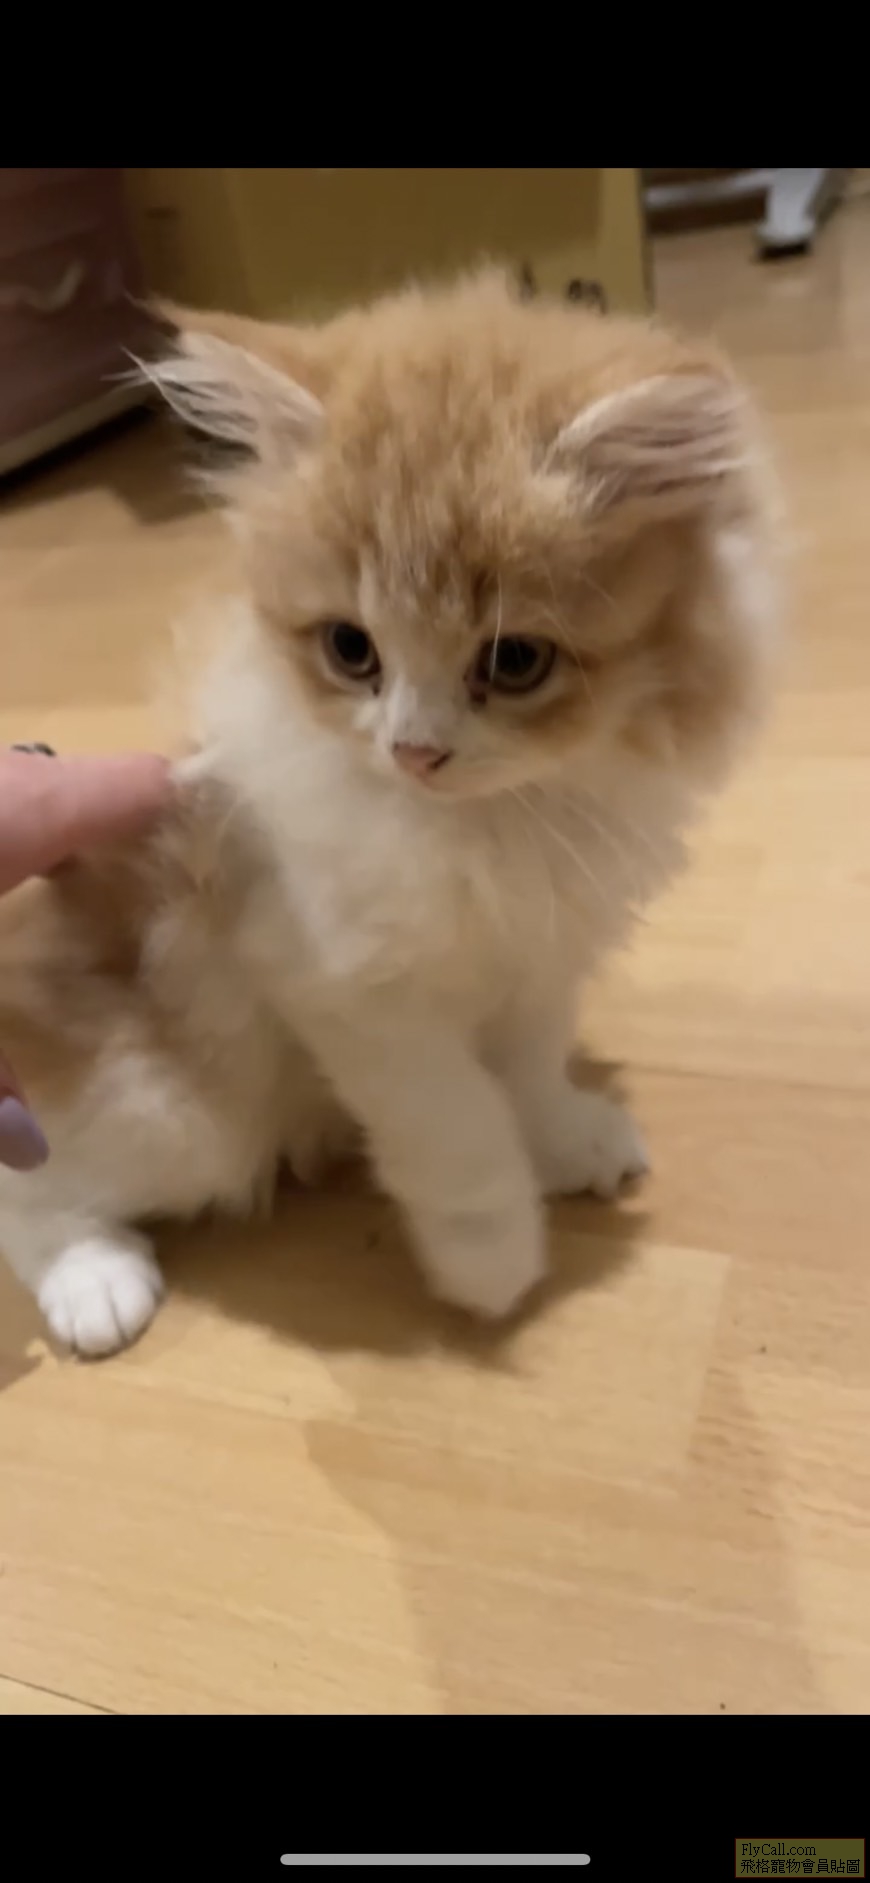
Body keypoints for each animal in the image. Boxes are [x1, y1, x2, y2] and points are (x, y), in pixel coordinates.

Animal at [0, 269, 779, 1356]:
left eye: (514, 660)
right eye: (350, 648)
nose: (415, 751)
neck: (496, 822)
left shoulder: (537, 957)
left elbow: (526, 1073)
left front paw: (566, 1139)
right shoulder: (349, 989)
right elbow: (458, 1124)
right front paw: (492, 1259)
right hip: (172, 1113)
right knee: (30, 1193)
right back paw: (95, 1281)